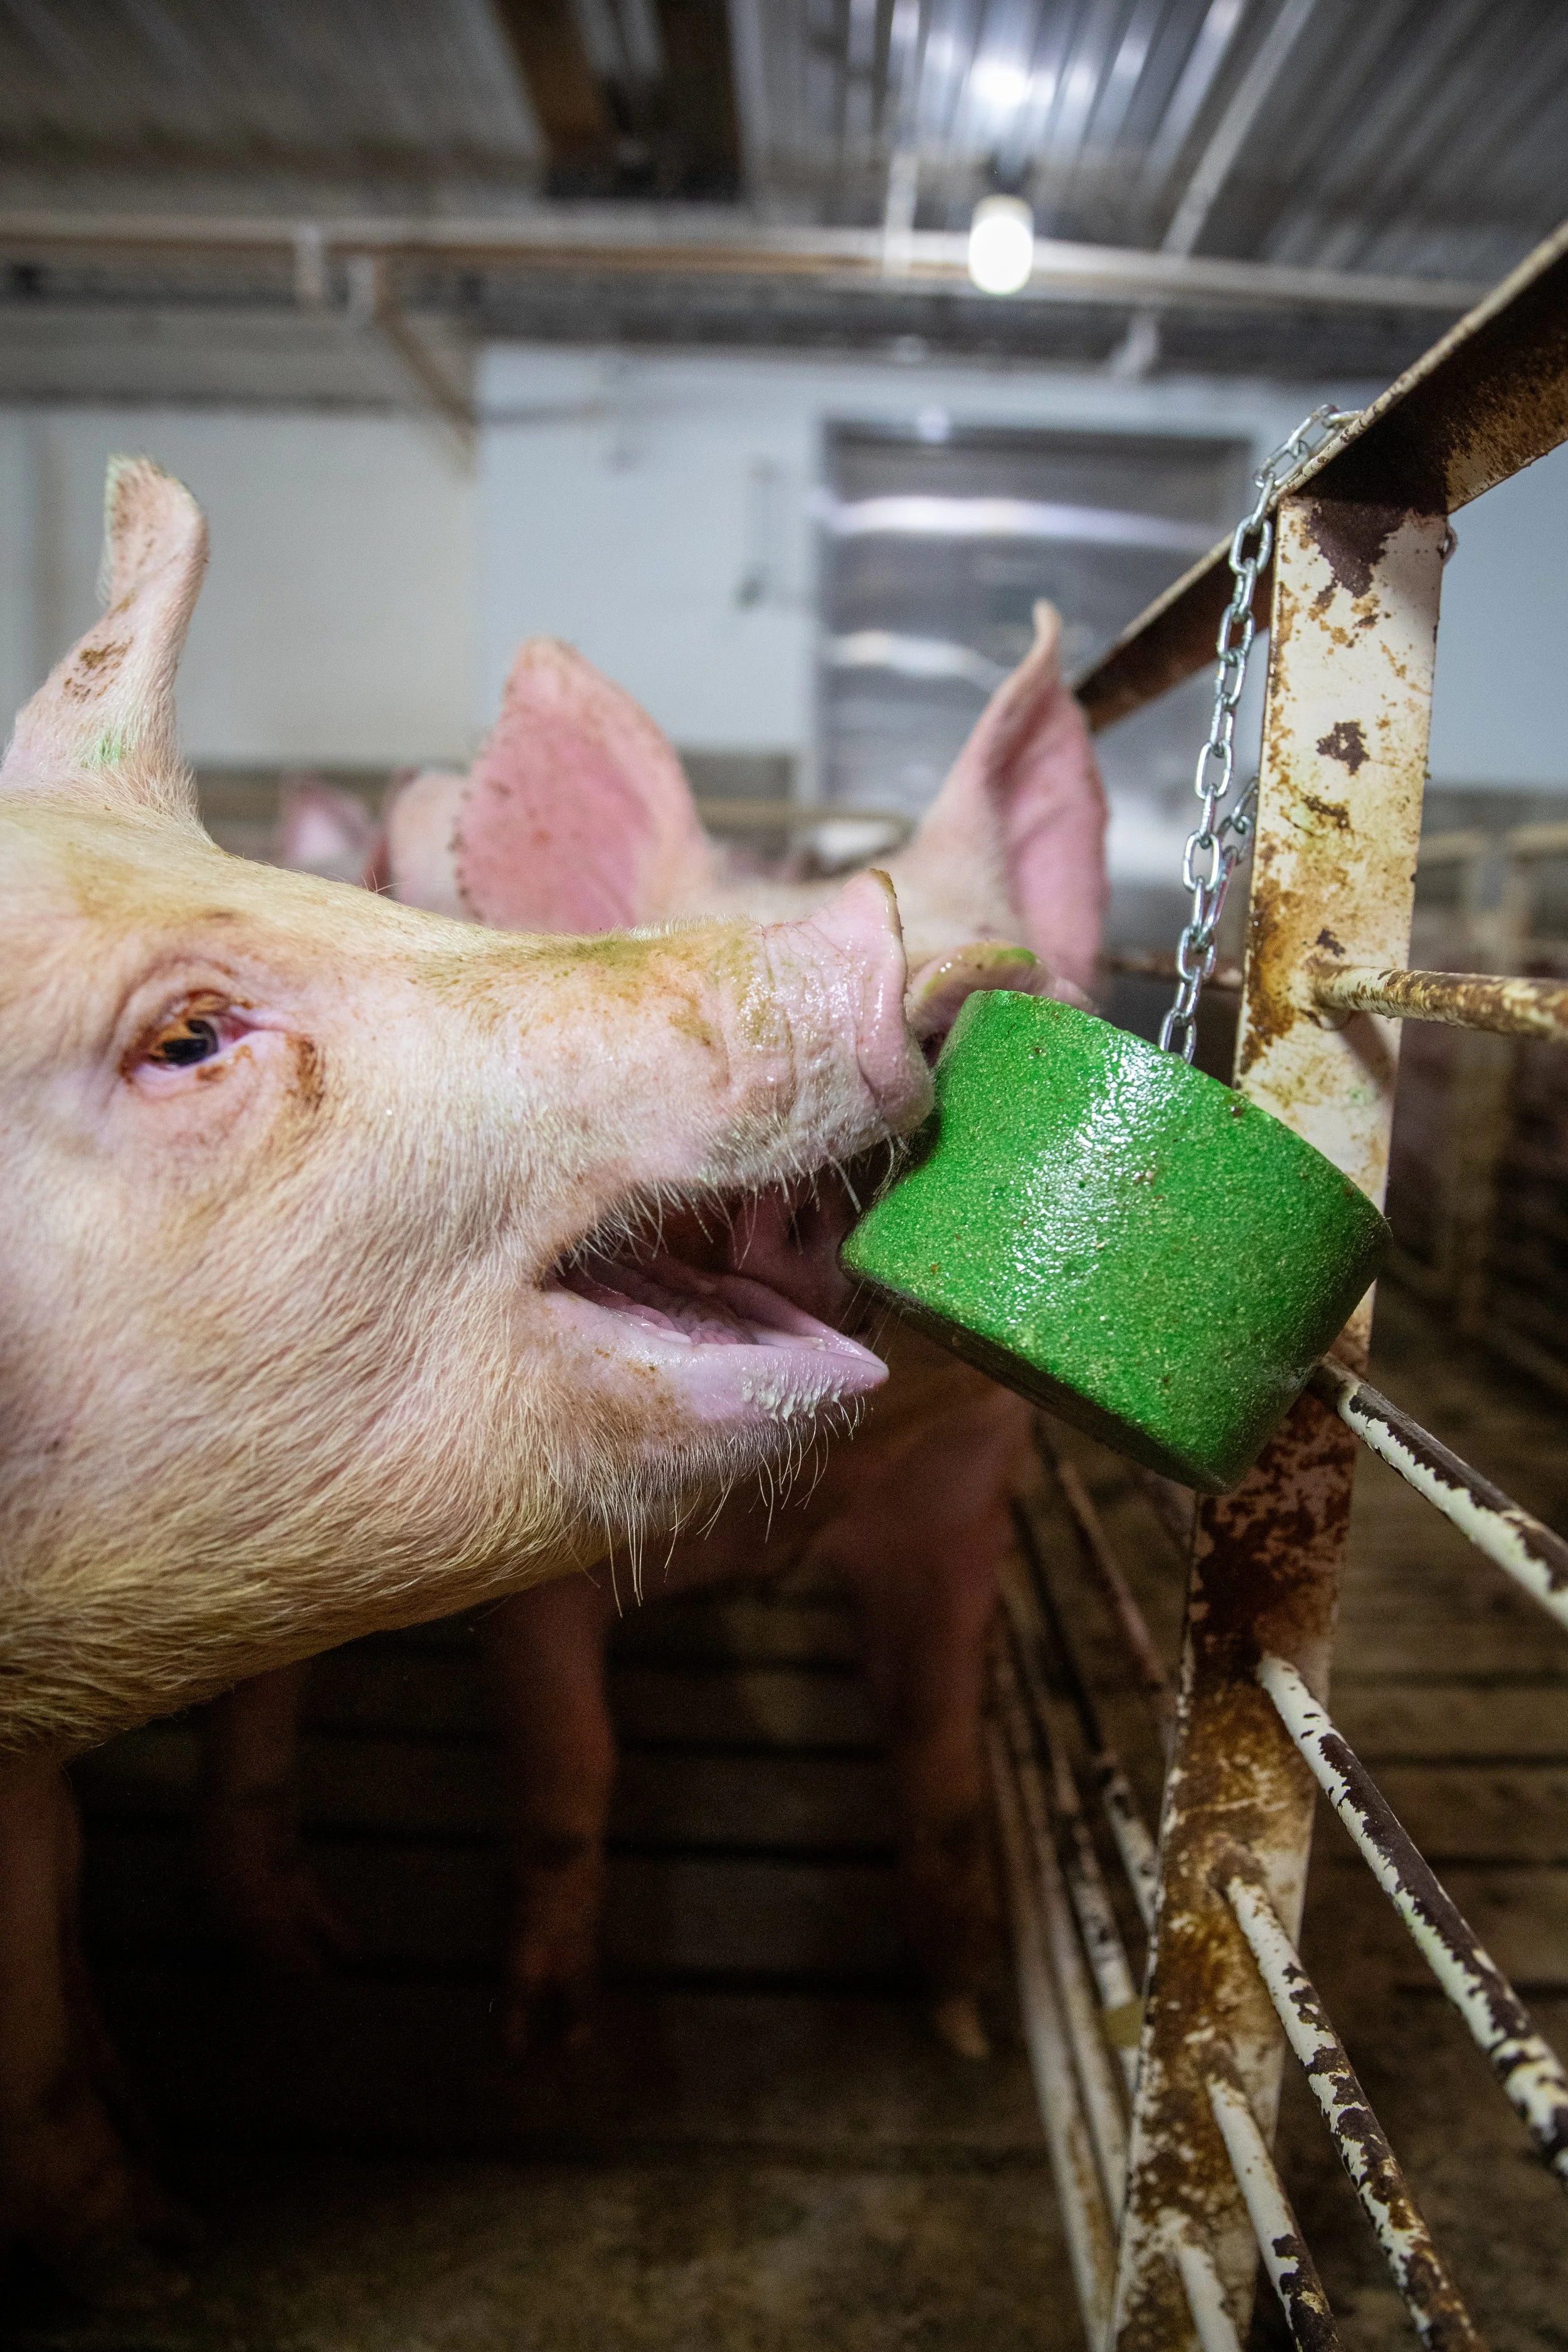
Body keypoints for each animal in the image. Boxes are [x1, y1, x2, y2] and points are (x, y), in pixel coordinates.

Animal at [212, 608, 1108, 2056]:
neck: (779, 1516)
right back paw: (302, 1970)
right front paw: (546, 2038)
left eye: (1010, 946)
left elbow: (935, 1746)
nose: (927, 986)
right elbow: (572, 1761)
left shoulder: (959, 1493)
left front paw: (964, 2020)